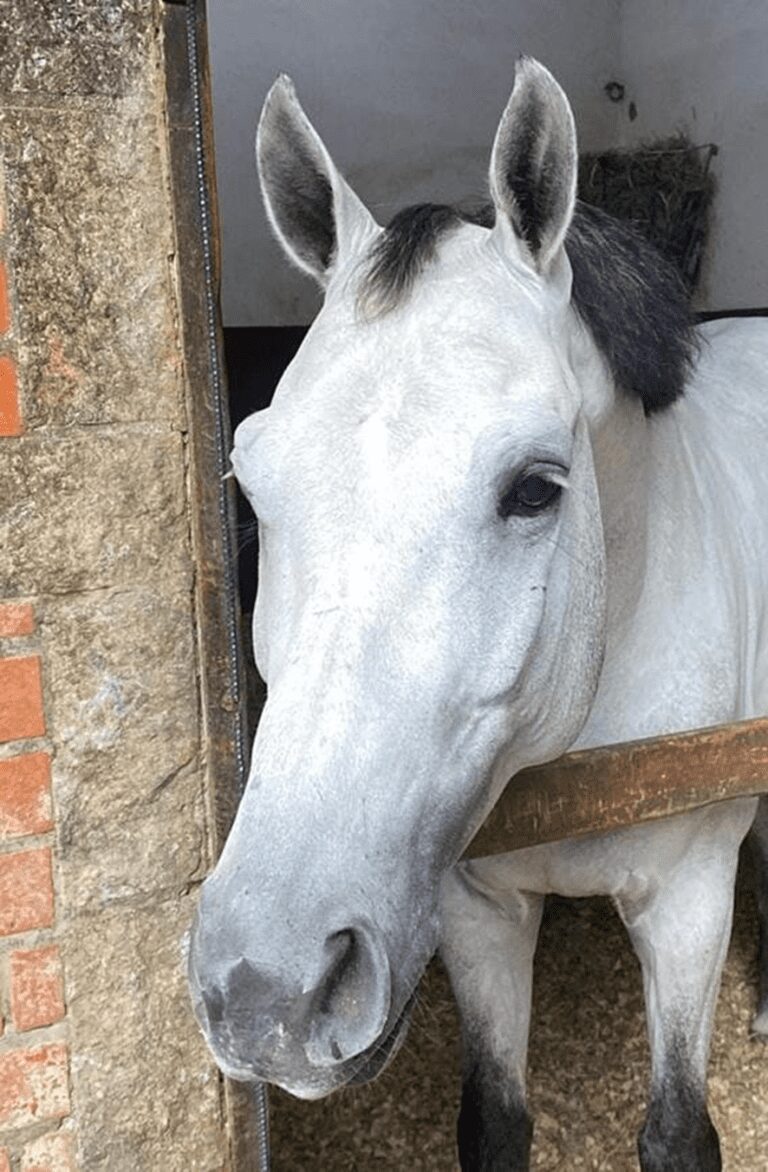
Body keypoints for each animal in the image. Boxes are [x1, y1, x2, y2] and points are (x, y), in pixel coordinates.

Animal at [189, 58, 768, 1170]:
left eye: (535, 488)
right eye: (251, 479)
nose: (268, 989)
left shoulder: (687, 902)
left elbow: (679, 1132)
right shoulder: (478, 910)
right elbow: (495, 1121)